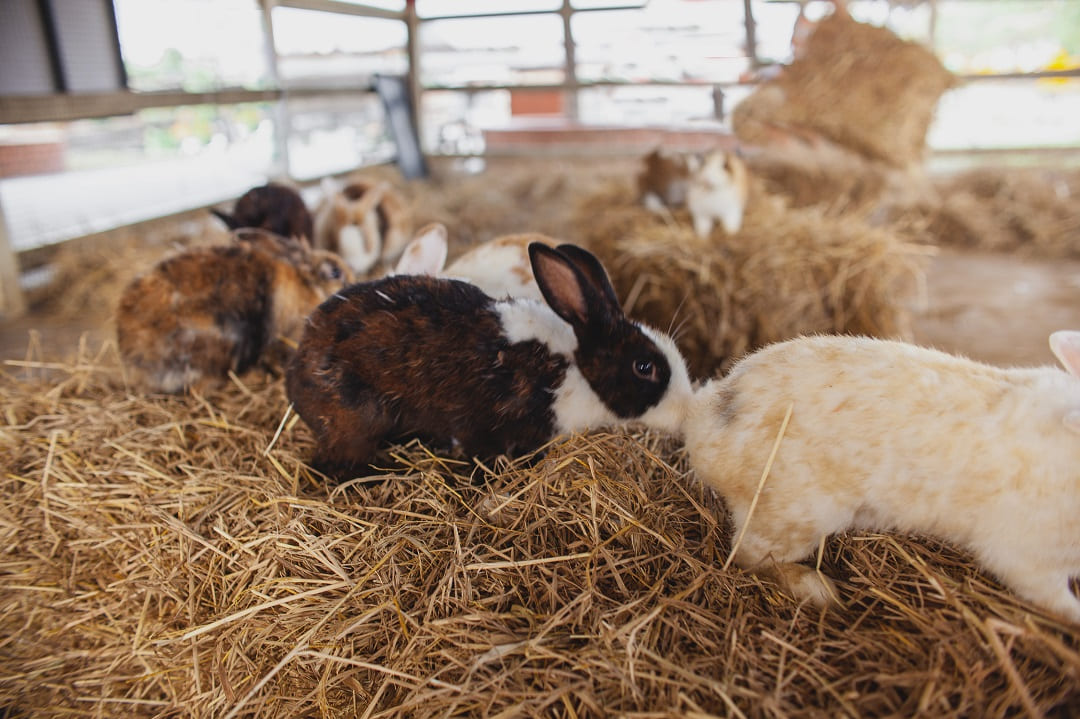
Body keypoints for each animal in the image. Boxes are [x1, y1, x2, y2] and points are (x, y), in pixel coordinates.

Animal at [287, 241, 691, 481]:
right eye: (644, 367)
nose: (684, 413)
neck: (575, 370)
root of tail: (296, 376)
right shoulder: (485, 426)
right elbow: (483, 456)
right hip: (358, 420)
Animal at [682, 332, 1080, 621]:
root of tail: (705, 418)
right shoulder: (1027, 560)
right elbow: (1059, 603)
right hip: (795, 518)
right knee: (749, 557)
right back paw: (820, 591)